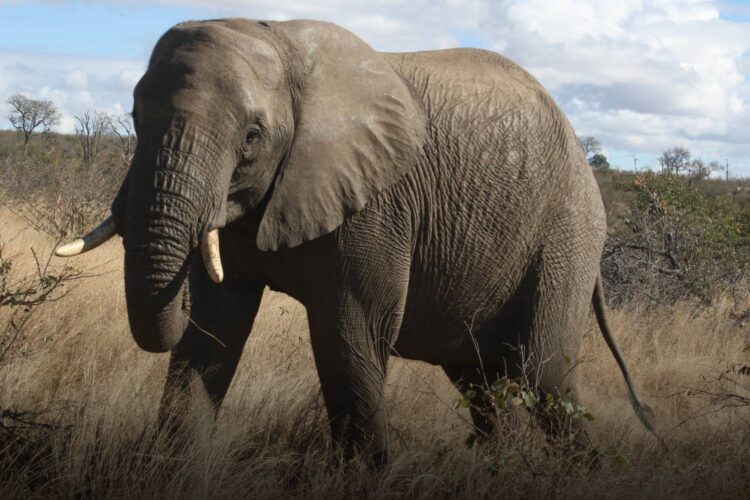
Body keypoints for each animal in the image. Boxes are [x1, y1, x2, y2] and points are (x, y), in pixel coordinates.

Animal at [56, 18, 658, 462]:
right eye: (135, 115)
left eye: (251, 137)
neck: (281, 44)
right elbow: (214, 332)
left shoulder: (378, 207)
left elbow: (350, 336)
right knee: (480, 383)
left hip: (567, 236)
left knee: (546, 374)